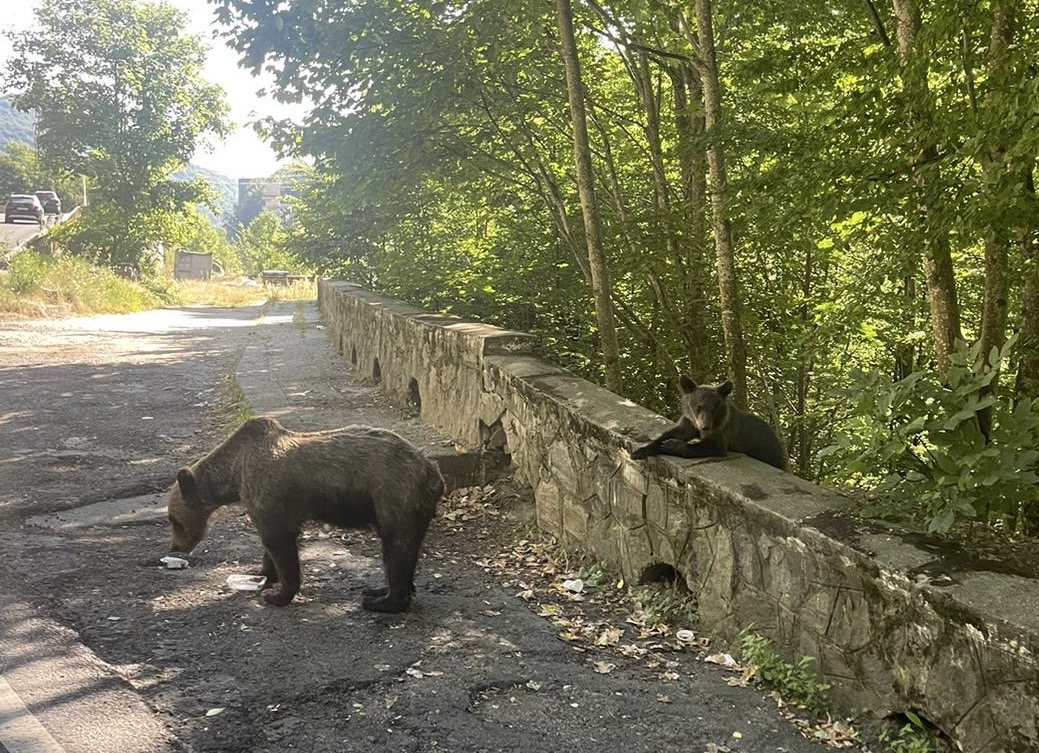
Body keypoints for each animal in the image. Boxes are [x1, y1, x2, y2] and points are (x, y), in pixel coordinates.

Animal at [167, 417, 446, 610]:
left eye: (174, 520)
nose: (176, 547)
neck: (235, 473)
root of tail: (431, 470)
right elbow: (271, 546)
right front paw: (263, 572)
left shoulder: (270, 497)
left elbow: (280, 545)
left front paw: (277, 595)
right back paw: (377, 591)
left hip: (392, 494)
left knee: (396, 548)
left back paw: (383, 602)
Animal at [627, 378, 781, 467]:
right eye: (698, 407)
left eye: (713, 408)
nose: (705, 426)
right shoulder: (689, 422)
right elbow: (672, 433)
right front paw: (639, 451)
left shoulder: (721, 428)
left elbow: (712, 446)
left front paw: (671, 444)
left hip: (769, 452)